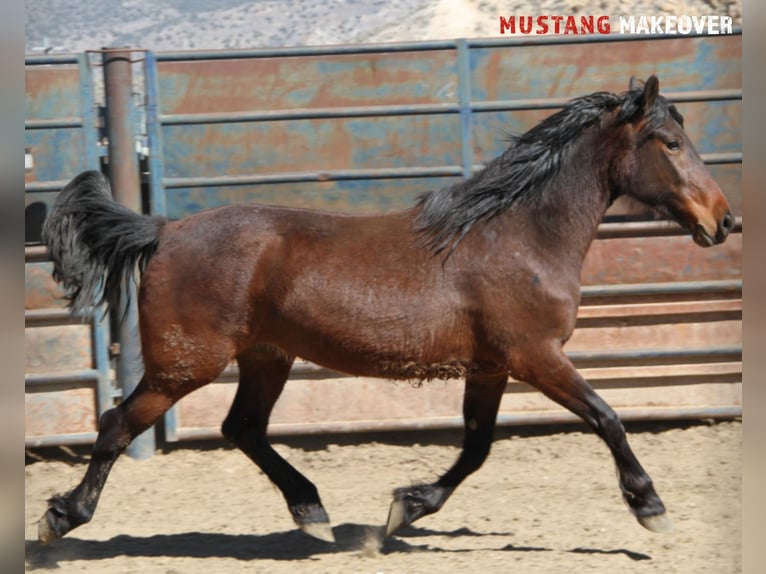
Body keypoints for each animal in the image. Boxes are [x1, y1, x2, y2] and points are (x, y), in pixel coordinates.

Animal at [39, 74, 736, 548]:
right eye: (670, 142)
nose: (723, 221)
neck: (518, 236)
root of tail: (163, 230)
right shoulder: (536, 357)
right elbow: (607, 417)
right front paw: (650, 508)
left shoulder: (491, 367)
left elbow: (477, 446)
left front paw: (407, 507)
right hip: (185, 365)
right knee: (117, 424)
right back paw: (61, 519)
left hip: (266, 357)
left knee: (243, 429)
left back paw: (313, 514)